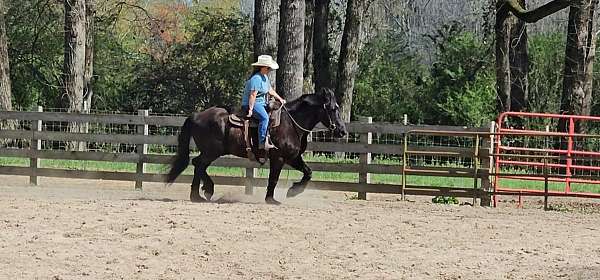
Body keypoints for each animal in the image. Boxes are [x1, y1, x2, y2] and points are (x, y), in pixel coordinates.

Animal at [166, 88, 350, 205]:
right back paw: (201, 193)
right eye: (332, 109)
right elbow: (273, 178)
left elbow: (308, 173)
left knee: (198, 165)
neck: (291, 124)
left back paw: (201, 193)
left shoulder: (293, 157)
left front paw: (293, 191)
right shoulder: (279, 158)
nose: (342, 131)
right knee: (198, 164)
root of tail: (196, 115)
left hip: (211, 152)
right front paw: (271, 199)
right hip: (212, 151)